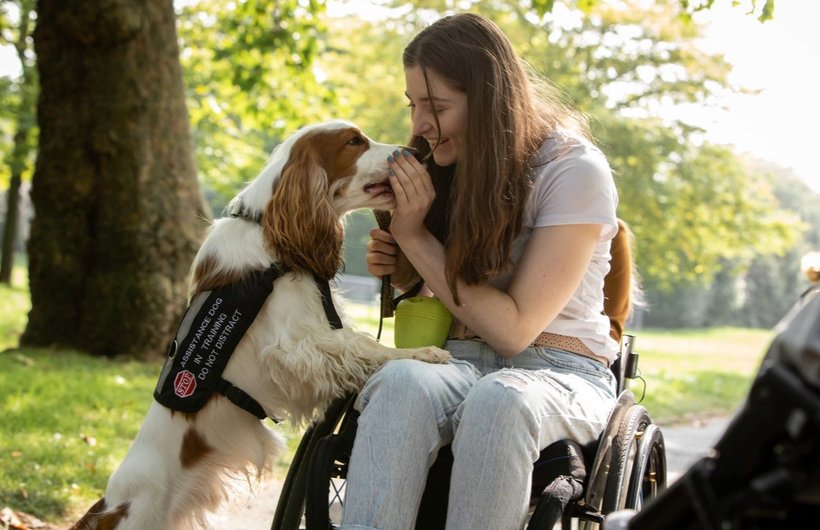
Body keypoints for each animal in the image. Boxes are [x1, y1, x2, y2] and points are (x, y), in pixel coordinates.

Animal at [71, 120, 452, 528]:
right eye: (354, 141)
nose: (414, 152)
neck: (270, 231)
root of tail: (109, 506)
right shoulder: (294, 348)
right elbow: (366, 345)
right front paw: (426, 354)